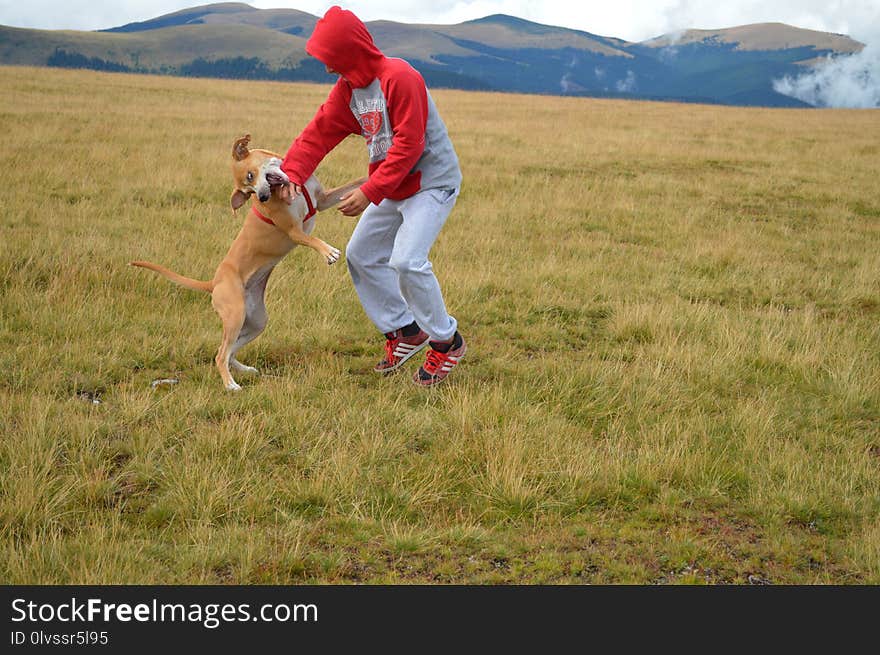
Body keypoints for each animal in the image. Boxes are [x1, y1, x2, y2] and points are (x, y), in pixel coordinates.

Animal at [131, 133, 364, 390]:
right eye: (249, 191)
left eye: (251, 178)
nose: (262, 197)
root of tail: (214, 282)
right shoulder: (293, 231)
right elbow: (311, 239)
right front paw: (328, 252)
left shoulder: (322, 199)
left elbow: (353, 184)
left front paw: (369, 177)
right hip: (234, 315)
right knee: (221, 354)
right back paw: (230, 385)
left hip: (255, 321)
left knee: (230, 351)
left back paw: (244, 370)